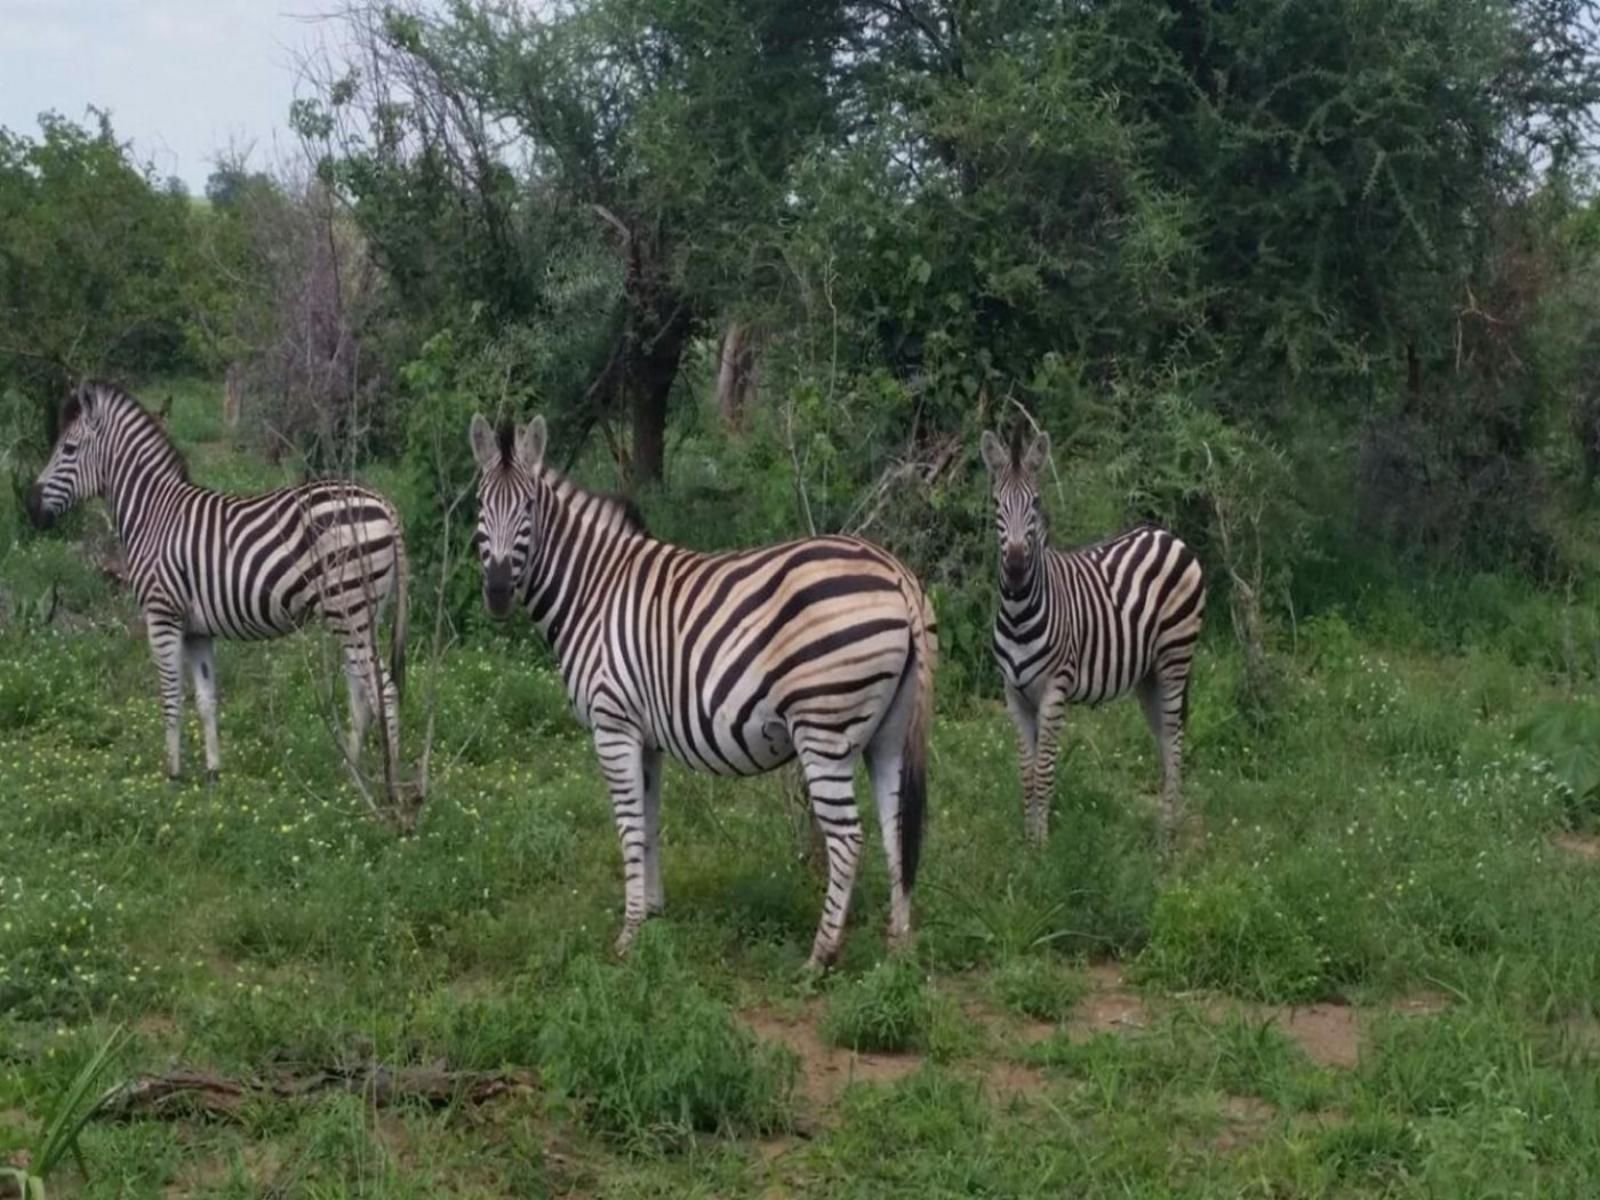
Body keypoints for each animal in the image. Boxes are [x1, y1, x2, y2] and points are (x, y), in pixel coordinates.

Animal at [25, 380, 409, 784]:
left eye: (68, 449)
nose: (29, 506)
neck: (153, 514)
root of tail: (384, 503)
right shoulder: (197, 629)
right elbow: (206, 699)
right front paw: (212, 773)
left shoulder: (162, 615)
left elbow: (170, 696)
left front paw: (173, 775)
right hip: (358, 615)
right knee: (361, 693)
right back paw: (352, 778)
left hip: (349, 609)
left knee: (384, 691)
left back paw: (392, 784)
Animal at [467, 419, 934, 972]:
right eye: (480, 504)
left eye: (529, 507)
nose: (497, 591)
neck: (592, 591)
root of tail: (895, 573)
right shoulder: (645, 735)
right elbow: (649, 822)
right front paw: (652, 914)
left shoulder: (613, 724)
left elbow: (629, 826)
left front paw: (628, 935)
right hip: (888, 732)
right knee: (896, 827)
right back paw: (899, 946)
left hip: (824, 729)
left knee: (848, 839)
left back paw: (819, 957)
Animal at [972, 428, 1203, 851]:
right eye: (997, 503)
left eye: (1035, 502)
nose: (1016, 568)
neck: (1018, 613)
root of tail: (1167, 535)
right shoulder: (1013, 694)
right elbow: (1027, 773)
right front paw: (1027, 844)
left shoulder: (1054, 690)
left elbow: (1045, 772)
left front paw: (1042, 847)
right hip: (1148, 675)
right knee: (1166, 740)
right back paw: (1165, 826)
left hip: (1175, 657)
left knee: (1176, 741)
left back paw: (1167, 839)